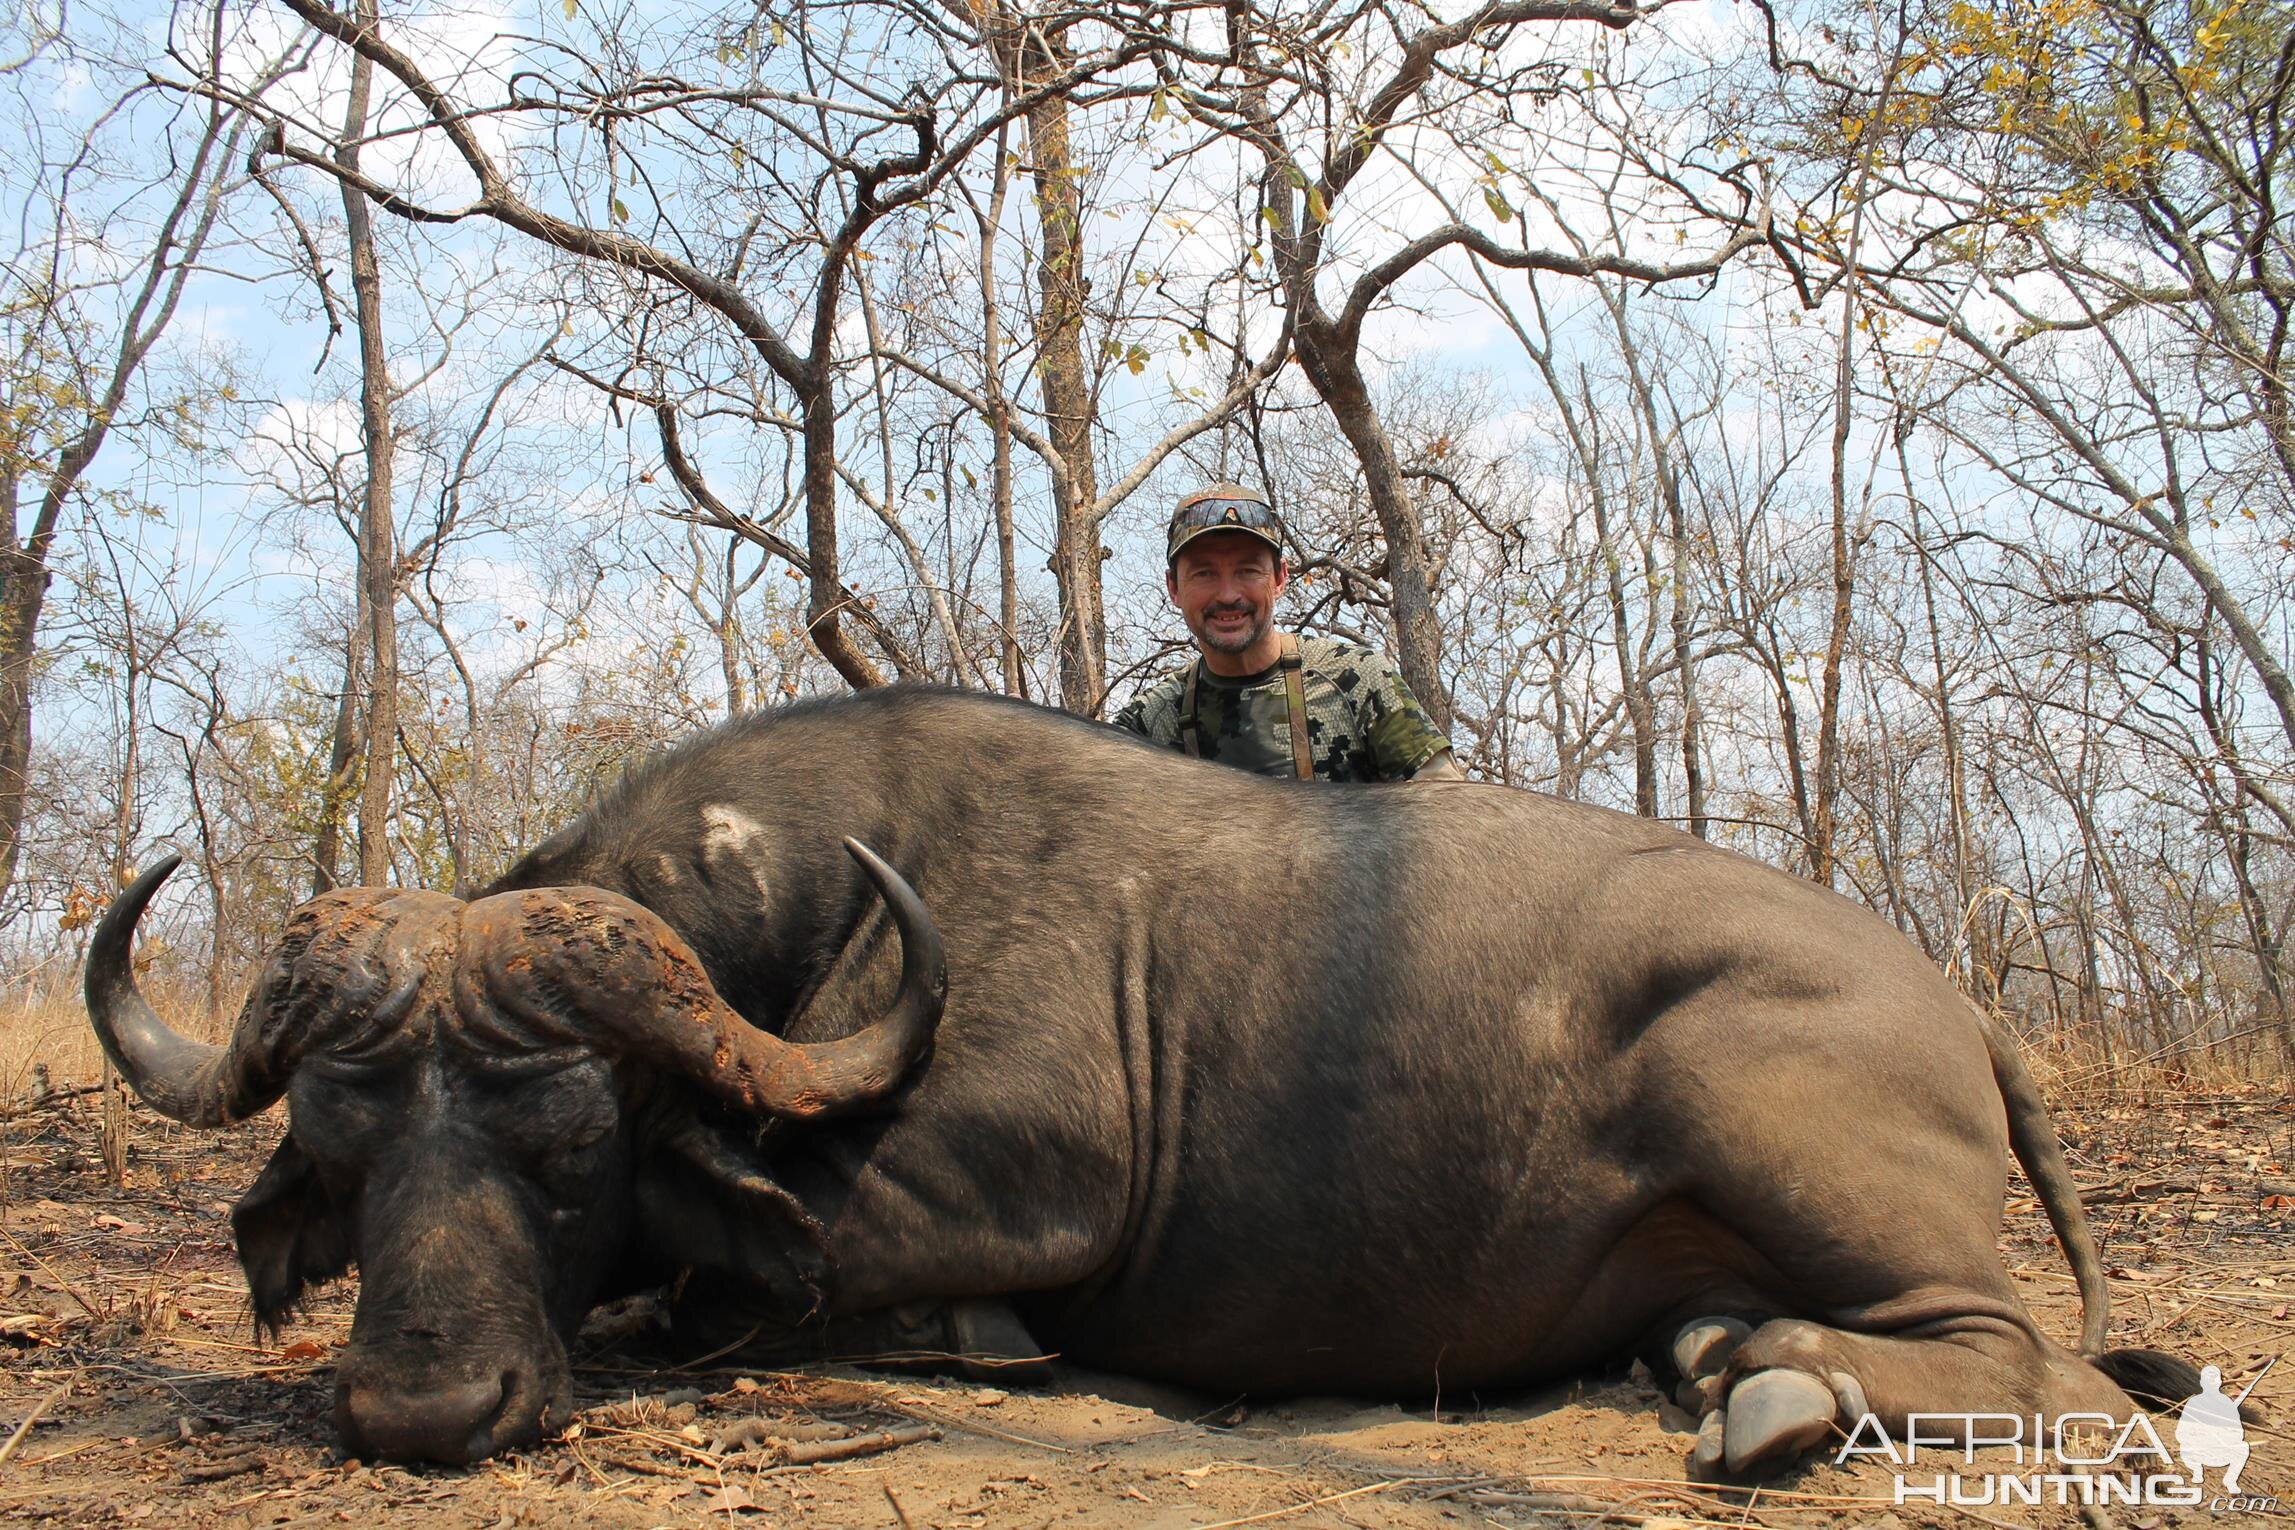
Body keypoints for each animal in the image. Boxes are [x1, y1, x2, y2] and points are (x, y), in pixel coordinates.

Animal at [84, 683, 2184, 1468]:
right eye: (348, 1153)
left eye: (569, 1150)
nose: (422, 1407)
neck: (817, 913)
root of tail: (1947, 1000)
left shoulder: (1015, 1185)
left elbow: (762, 1252)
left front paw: (967, 1343)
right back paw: (1714, 1354)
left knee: (2039, 1365)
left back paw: (1775, 1390)